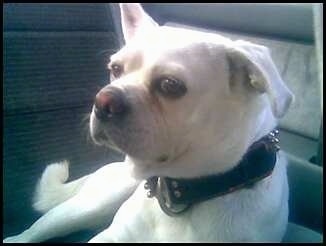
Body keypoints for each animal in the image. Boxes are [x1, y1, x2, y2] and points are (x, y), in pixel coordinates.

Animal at [3, 2, 292, 243]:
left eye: (170, 85)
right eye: (115, 69)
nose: (102, 101)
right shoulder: (109, 238)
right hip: (86, 207)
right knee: (21, 237)